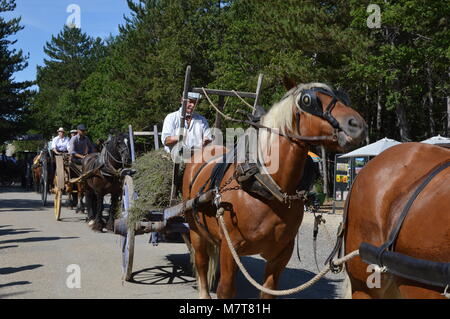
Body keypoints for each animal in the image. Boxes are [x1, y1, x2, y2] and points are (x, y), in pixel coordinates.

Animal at [181, 83, 368, 300]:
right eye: (308, 100)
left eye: (343, 96)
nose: (358, 124)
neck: (267, 187)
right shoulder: (230, 247)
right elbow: (225, 289)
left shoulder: (282, 253)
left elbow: (268, 291)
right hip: (195, 229)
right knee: (201, 263)